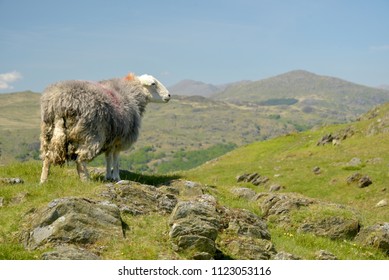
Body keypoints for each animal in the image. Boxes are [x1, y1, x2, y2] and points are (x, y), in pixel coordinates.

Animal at [39, 72, 170, 184]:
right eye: (153, 84)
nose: (169, 95)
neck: (131, 95)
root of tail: (60, 103)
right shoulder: (120, 139)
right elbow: (116, 159)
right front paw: (117, 177)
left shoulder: (110, 138)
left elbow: (108, 158)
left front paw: (108, 176)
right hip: (91, 134)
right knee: (80, 159)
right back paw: (86, 180)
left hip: (48, 132)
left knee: (47, 157)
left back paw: (43, 181)